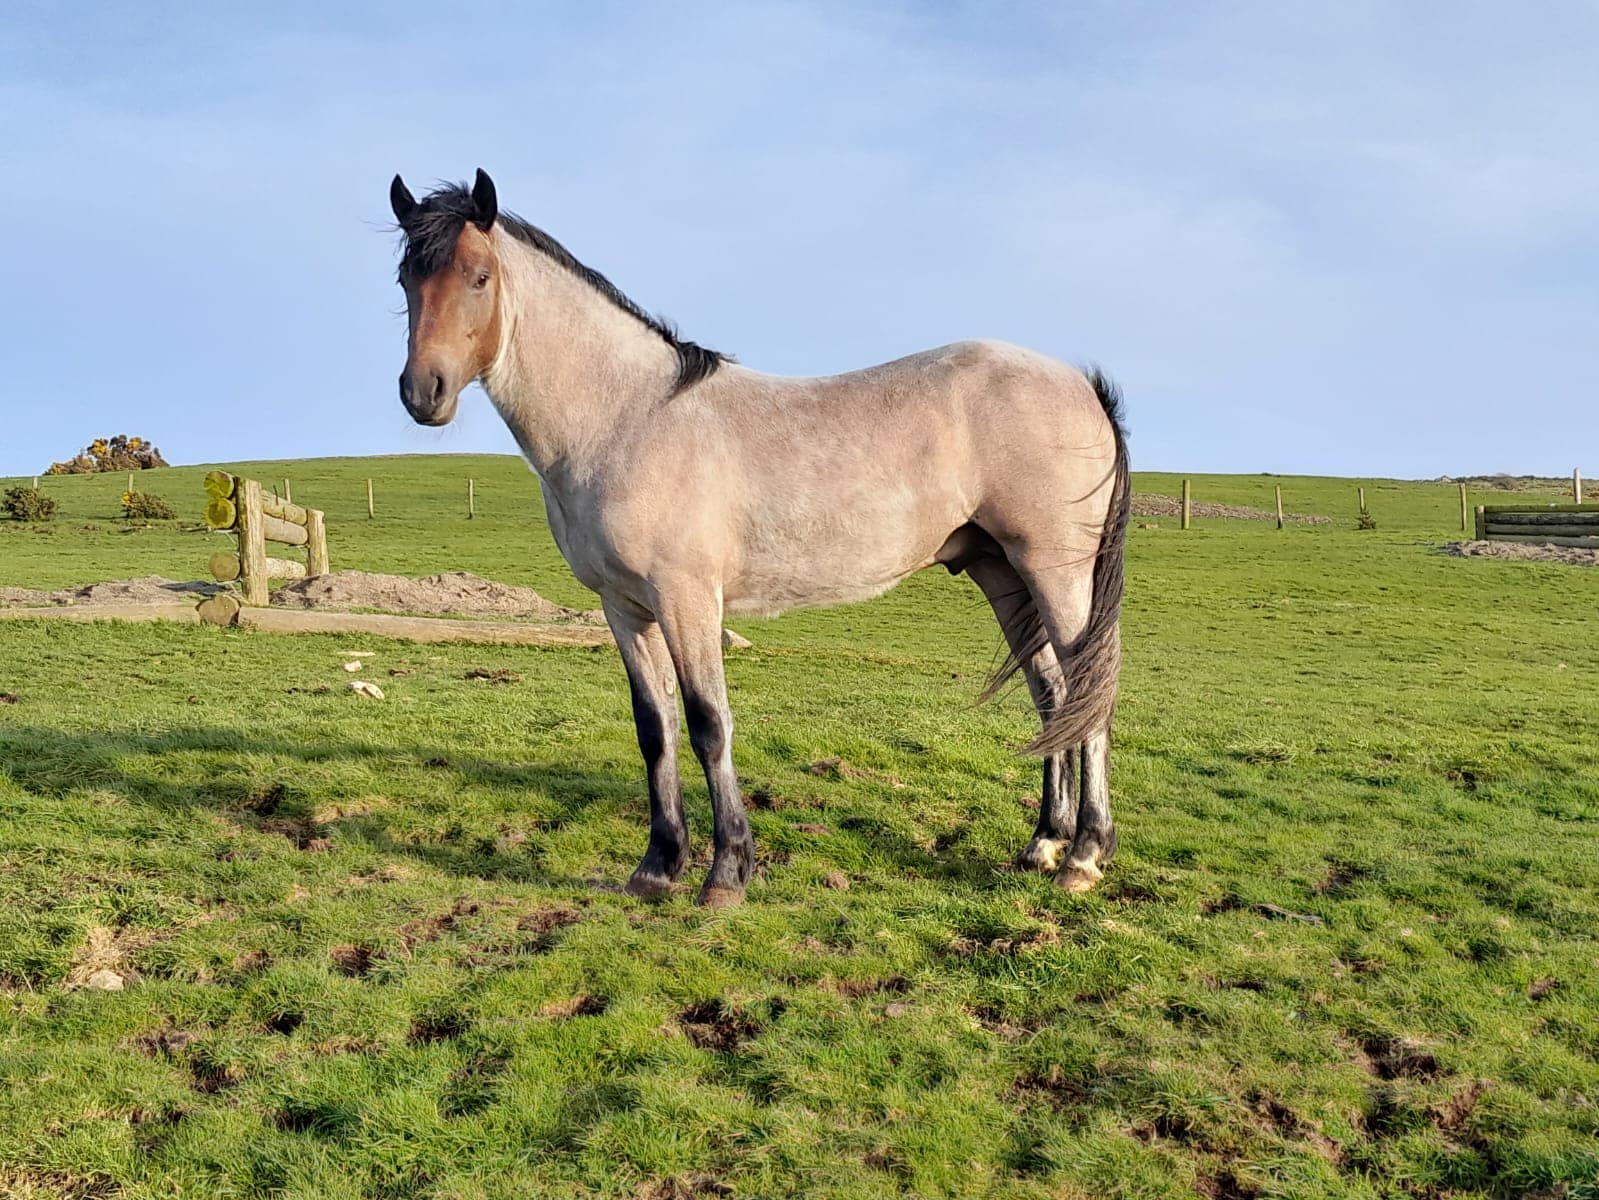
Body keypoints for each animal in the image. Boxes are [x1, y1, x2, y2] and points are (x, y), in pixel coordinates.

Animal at [393, 167, 1132, 902]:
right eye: (405, 278)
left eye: (480, 276)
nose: (423, 393)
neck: (626, 418)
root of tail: (1079, 384)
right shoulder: (623, 607)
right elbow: (655, 728)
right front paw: (657, 867)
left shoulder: (688, 600)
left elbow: (708, 724)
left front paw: (725, 874)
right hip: (1001, 571)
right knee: (1053, 697)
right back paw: (1042, 844)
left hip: (1054, 572)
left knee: (1088, 693)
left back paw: (1083, 856)